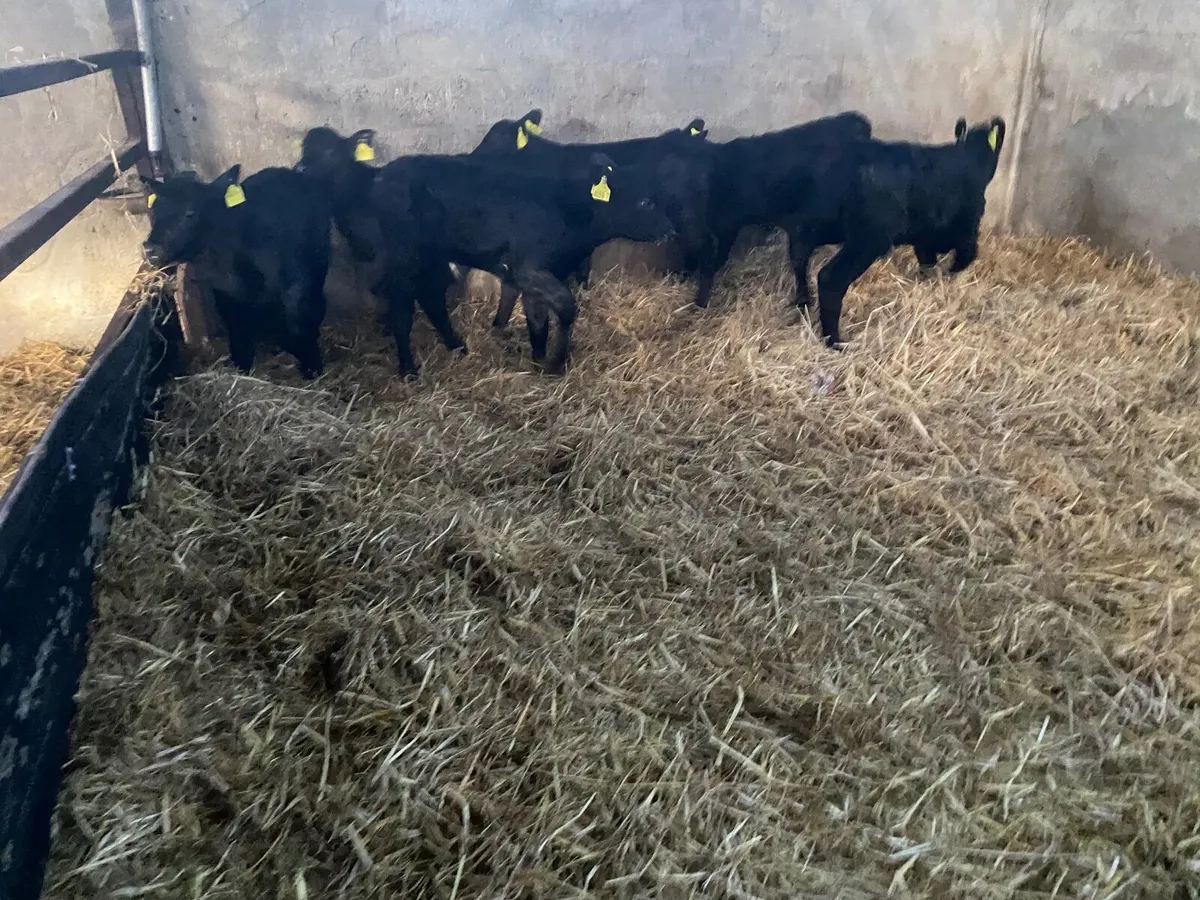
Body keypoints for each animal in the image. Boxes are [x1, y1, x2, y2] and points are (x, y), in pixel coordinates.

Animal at [141, 165, 332, 379]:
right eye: (154, 212)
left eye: (189, 213)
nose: (150, 249)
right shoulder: (225, 293)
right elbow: (237, 326)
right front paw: (242, 364)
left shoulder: (296, 285)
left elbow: (297, 322)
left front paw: (312, 366)